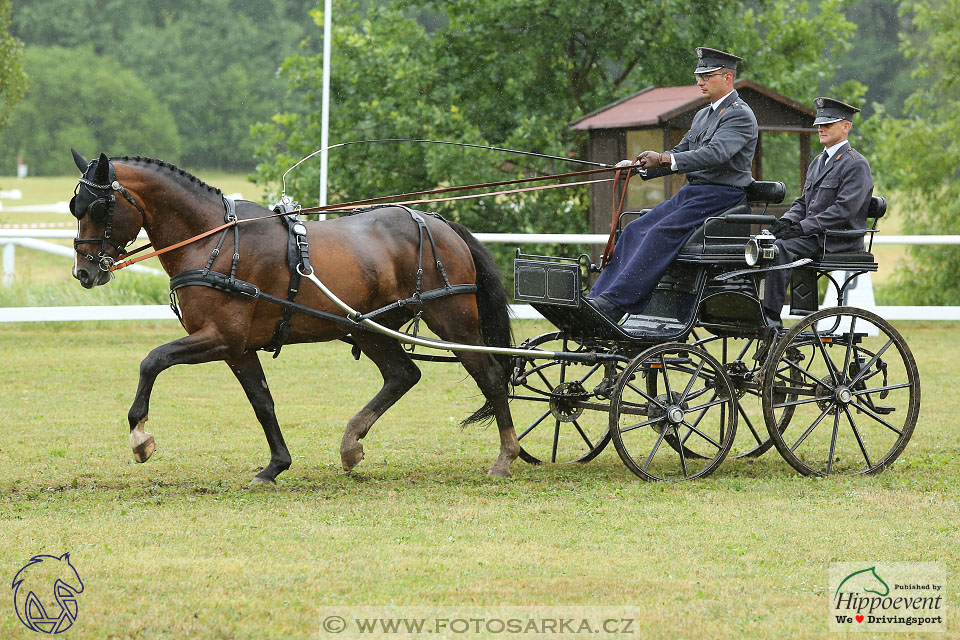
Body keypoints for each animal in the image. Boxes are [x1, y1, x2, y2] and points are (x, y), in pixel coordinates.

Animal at [70, 150, 520, 484]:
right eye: (75, 206)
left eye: (99, 206)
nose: (84, 272)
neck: (214, 239)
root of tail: (438, 222)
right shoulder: (238, 348)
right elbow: (262, 402)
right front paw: (275, 466)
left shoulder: (220, 337)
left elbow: (153, 360)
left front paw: (140, 437)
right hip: (368, 328)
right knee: (403, 374)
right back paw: (351, 443)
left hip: (453, 319)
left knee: (490, 376)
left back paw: (505, 456)